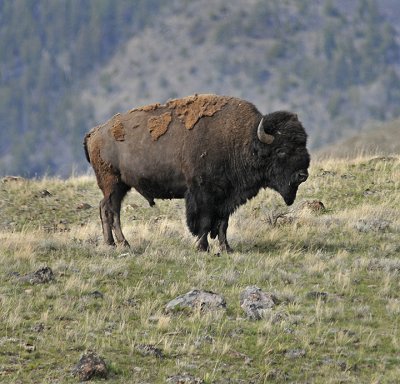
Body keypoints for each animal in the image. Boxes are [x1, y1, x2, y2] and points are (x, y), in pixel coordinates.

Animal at [83, 94, 310, 252]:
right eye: (281, 150)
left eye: (303, 144)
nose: (303, 175)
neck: (243, 140)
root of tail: (95, 132)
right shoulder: (203, 193)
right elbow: (204, 221)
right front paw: (202, 247)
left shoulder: (226, 197)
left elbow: (222, 223)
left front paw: (226, 248)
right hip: (112, 183)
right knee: (110, 210)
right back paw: (121, 243)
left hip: (120, 186)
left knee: (108, 208)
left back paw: (113, 243)